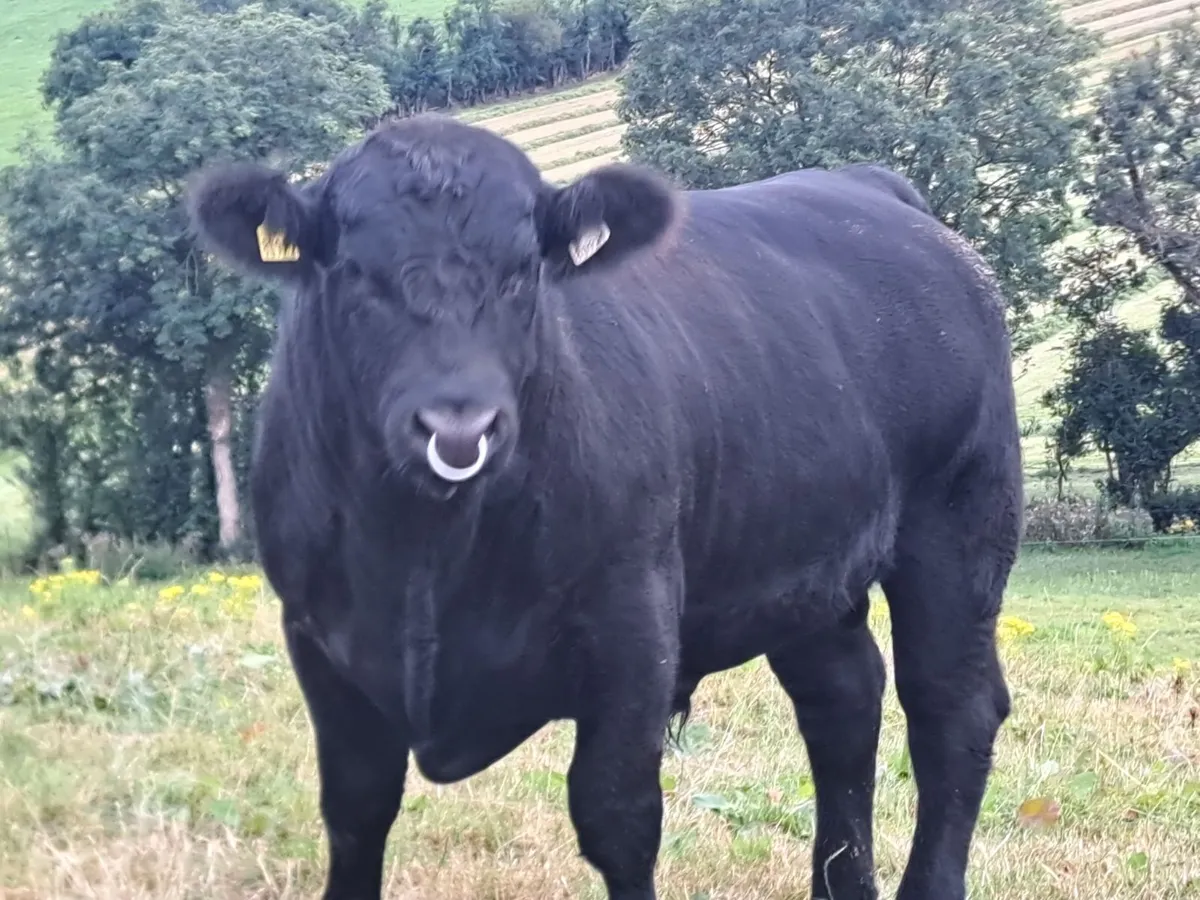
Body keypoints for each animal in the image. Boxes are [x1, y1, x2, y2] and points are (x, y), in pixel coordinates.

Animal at [186, 112, 1022, 900]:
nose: (459, 427)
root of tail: (873, 188)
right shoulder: (319, 641)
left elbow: (617, 816)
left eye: (524, 271)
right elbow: (355, 809)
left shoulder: (633, 625)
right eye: (357, 274)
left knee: (951, 712)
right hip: (807, 567)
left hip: (960, 524)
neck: (427, 551)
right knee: (843, 702)